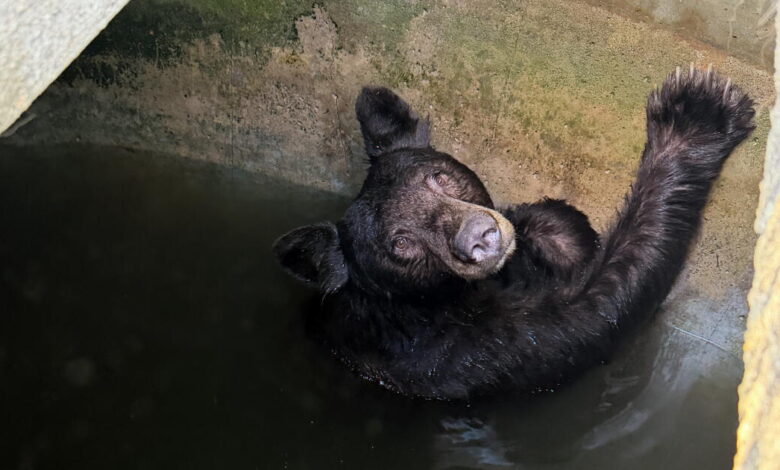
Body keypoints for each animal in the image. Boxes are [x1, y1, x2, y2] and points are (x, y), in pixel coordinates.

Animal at [274, 66, 755, 400]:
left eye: (437, 177)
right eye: (400, 242)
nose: (479, 236)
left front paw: (556, 233)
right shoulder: (466, 350)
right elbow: (599, 308)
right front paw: (694, 112)